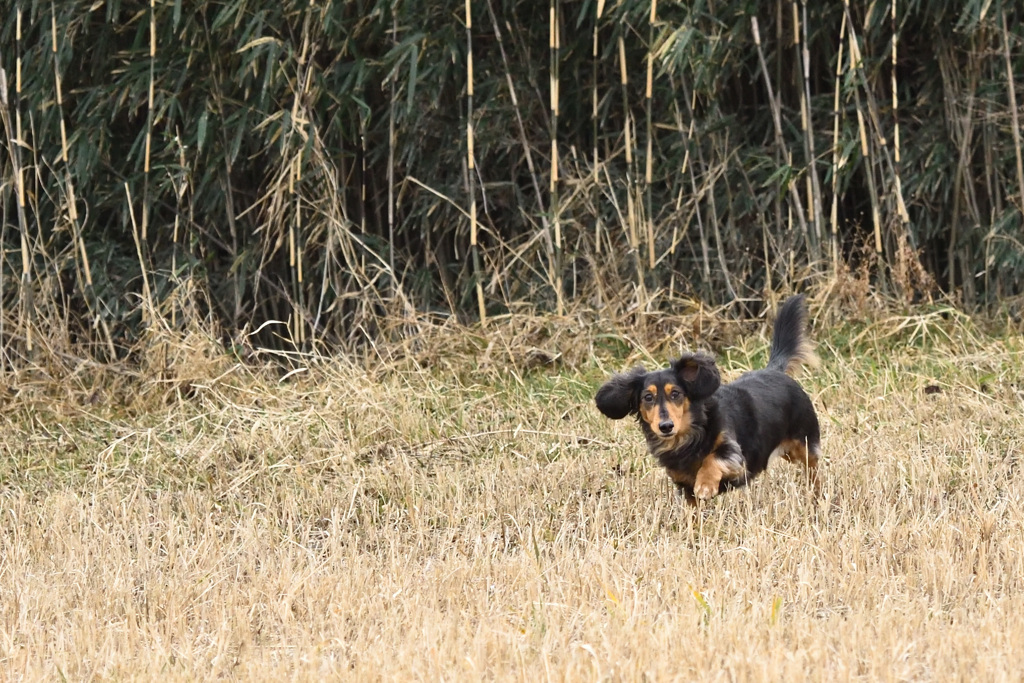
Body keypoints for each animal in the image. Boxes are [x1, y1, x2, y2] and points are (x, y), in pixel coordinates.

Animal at [593, 296, 823, 505]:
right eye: (648, 397)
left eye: (675, 393)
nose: (666, 426)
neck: (688, 437)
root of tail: (775, 370)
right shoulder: (684, 485)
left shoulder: (735, 455)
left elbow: (713, 459)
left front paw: (705, 484)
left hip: (804, 444)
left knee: (814, 470)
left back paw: (817, 498)